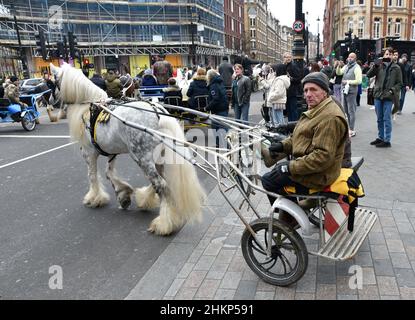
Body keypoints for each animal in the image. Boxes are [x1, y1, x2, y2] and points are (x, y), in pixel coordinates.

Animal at [50, 63, 206, 236]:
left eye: (53, 81)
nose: (50, 100)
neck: (89, 108)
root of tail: (159, 113)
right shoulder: (111, 152)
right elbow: (109, 172)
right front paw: (123, 194)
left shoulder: (88, 153)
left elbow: (92, 176)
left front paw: (95, 197)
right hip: (156, 157)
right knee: (158, 181)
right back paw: (145, 200)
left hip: (141, 157)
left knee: (161, 185)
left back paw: (164, 223)